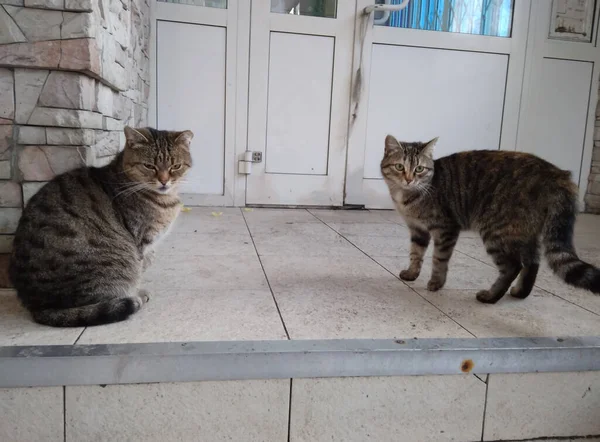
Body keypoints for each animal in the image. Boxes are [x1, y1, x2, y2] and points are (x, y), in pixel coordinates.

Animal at [10, 126, 193, 326]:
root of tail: (37, 307)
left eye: (175, 167)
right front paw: (138, 291)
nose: (164, 181)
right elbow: (139, 271)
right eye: (149, 166)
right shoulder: (140, 244)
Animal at [380, 133, 600, 302]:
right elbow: (415, 254)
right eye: (400, 167)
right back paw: (520, 292)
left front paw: (436, 283)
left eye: (419, 169)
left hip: (496, 231)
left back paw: (491, 297)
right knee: (532, 261)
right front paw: (411, 273)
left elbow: (439, 259)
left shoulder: (445, 229)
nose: (409, 180)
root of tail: (558, 174)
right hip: (523, 231)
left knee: (513, 266)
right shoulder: (418, 229)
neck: (407, 197)